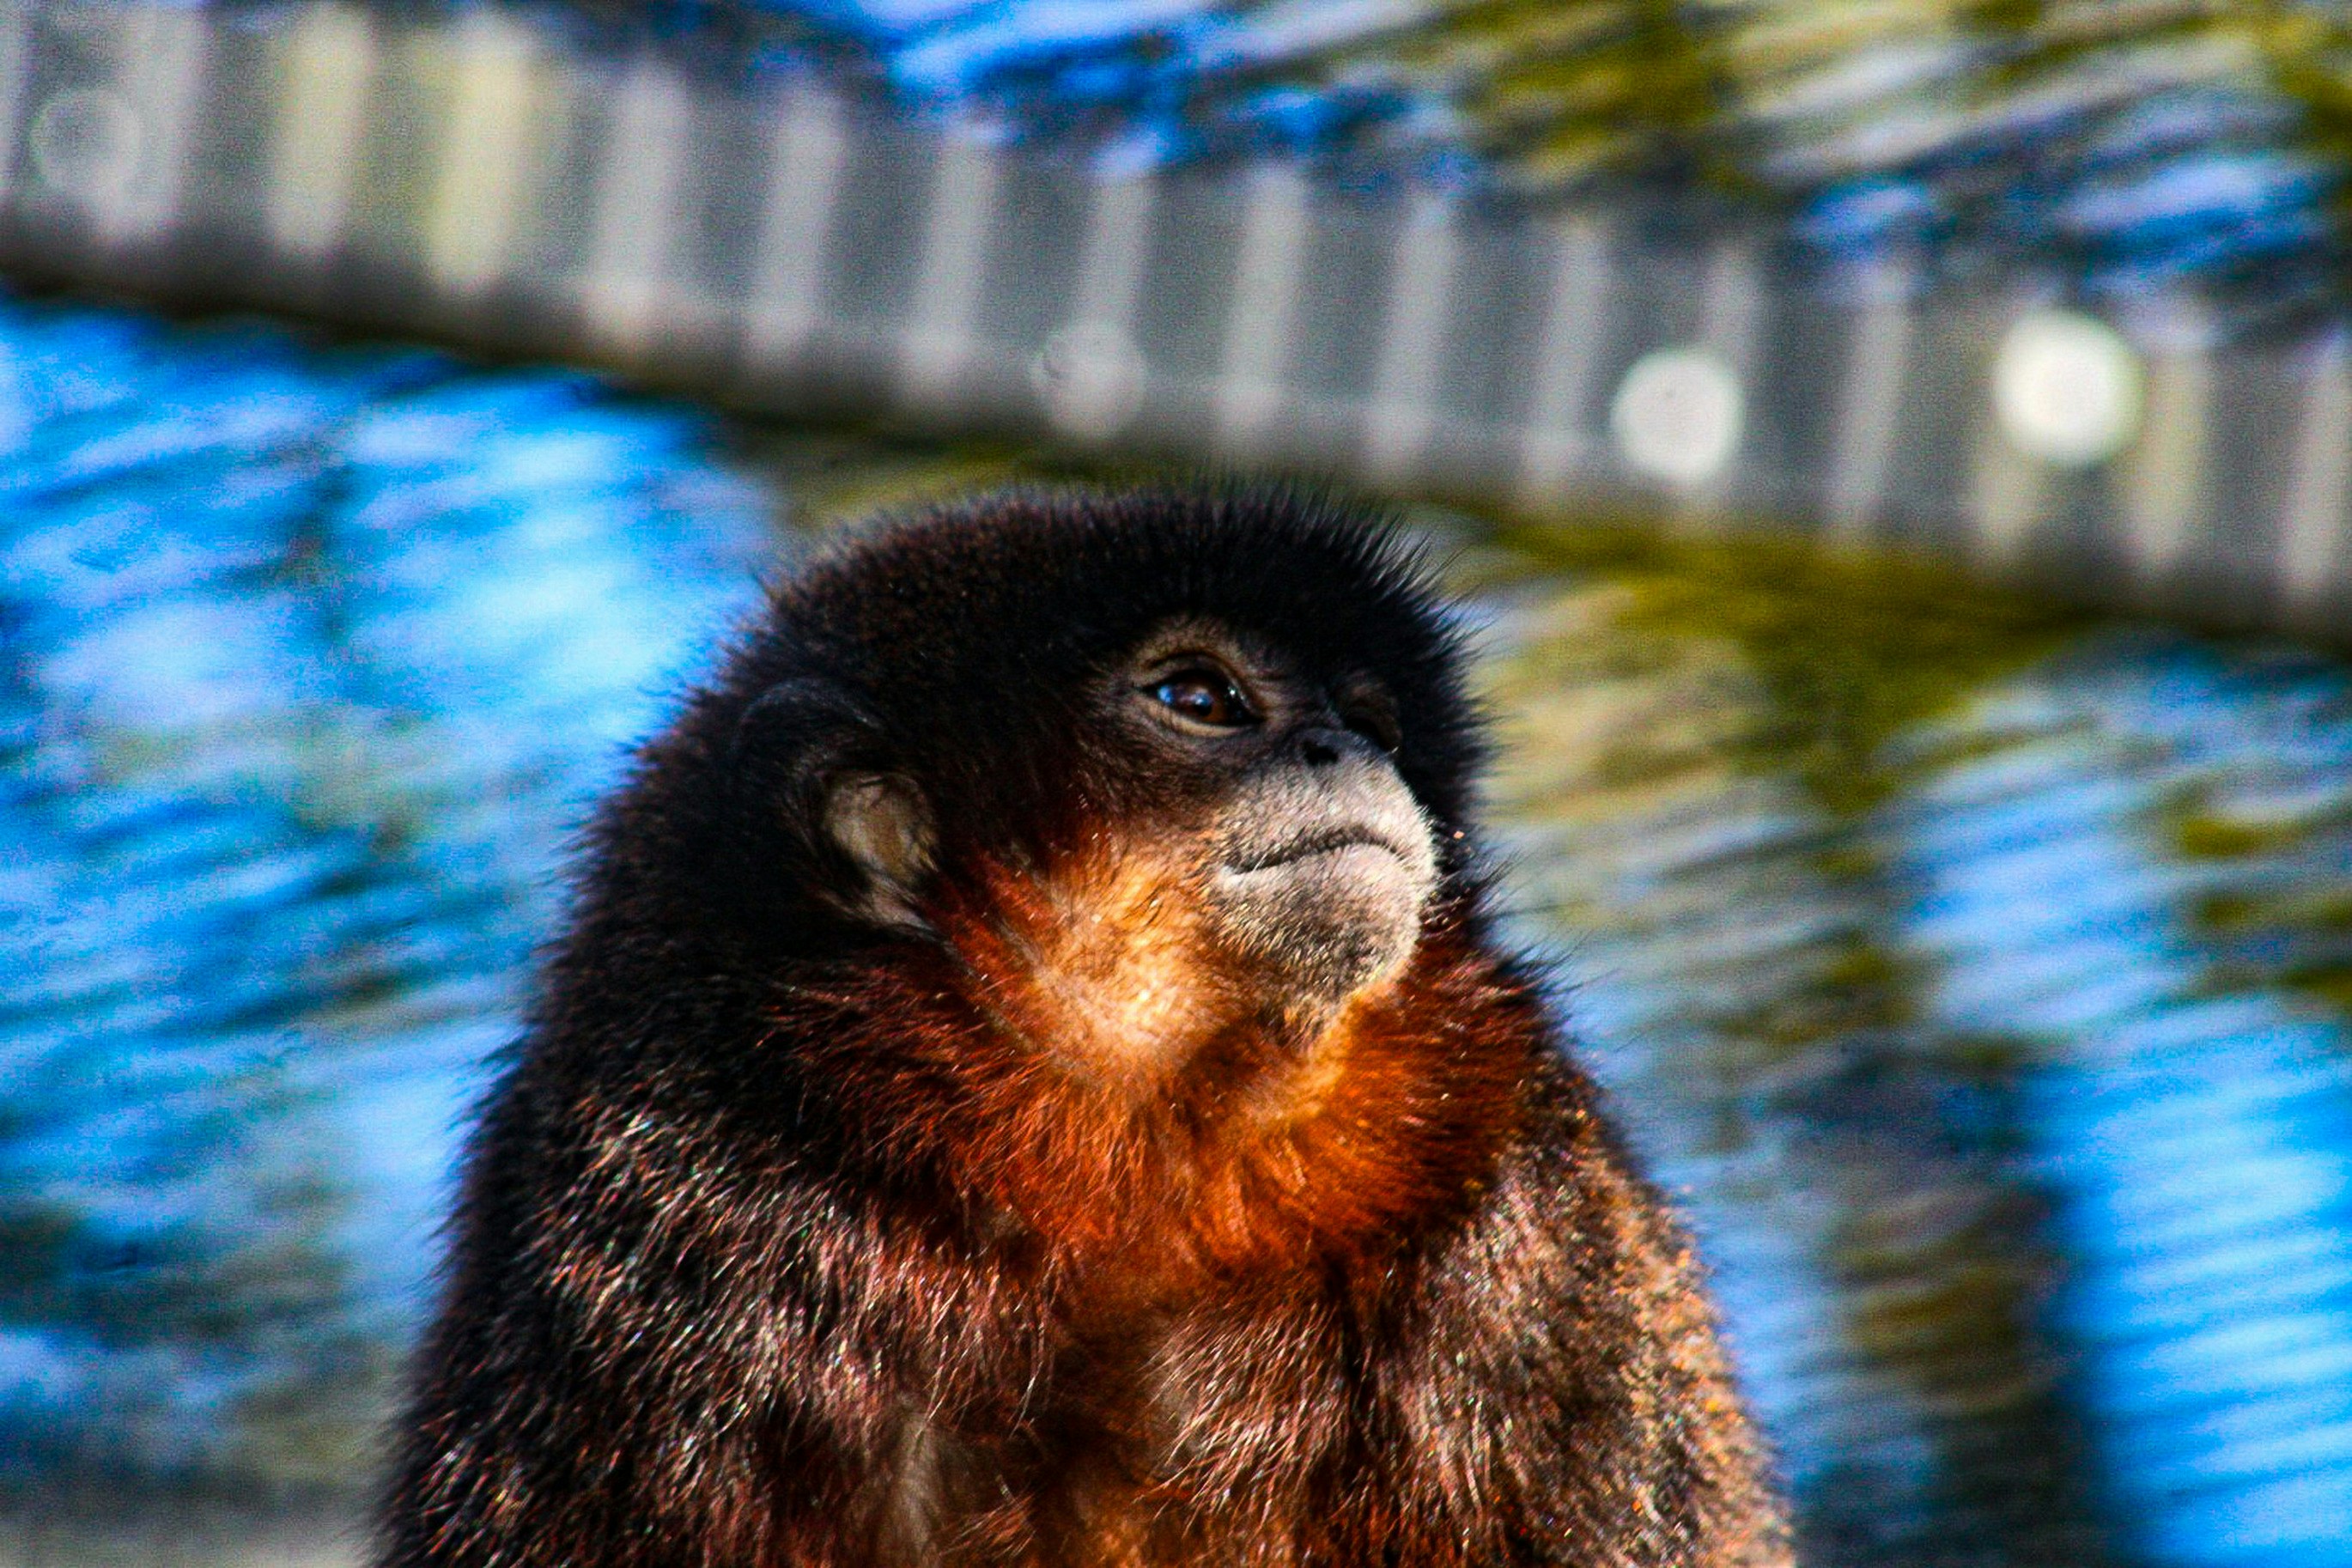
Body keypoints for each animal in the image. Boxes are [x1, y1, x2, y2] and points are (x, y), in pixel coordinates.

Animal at [378, 484, 1793, 1568]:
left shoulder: (1530, 1217)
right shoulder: (673, 1211)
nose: (1348, 751)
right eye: (1200, 696)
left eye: (1371, 719)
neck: (1129, 1156)